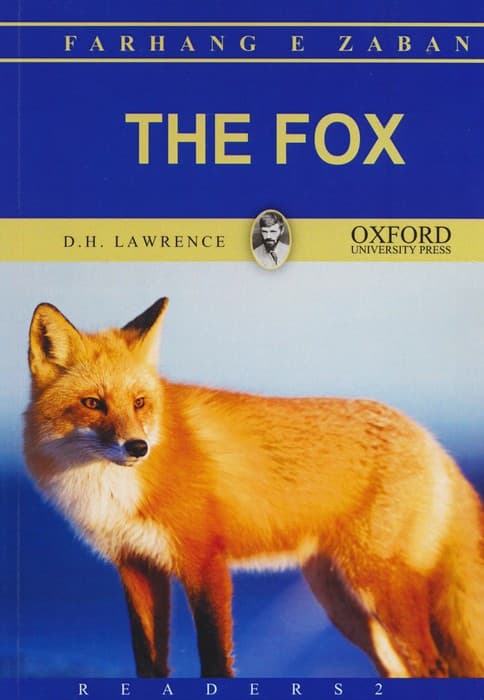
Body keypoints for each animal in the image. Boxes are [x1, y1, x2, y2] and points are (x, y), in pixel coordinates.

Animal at [24, 298, 483, 678]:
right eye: (92, 403)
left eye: (139, 403)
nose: (138, 447)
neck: (113, 490)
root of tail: (430, 439)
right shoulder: (137, 566)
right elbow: (149, 662)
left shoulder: (205, 562)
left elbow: (215, 658)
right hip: (342, 604)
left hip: (379, 589)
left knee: (434, 667)